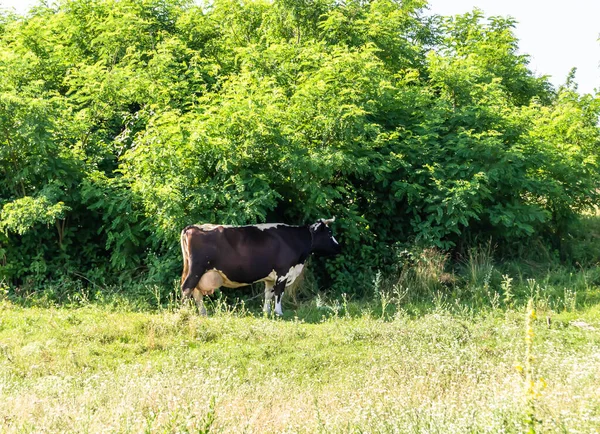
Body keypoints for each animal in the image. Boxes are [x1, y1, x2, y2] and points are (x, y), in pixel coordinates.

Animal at [178, 217, 340, 316]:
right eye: (329, 232)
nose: (339, 247)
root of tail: (193, 227)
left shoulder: (270, 278)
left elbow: (268, 294)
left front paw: (266, 312)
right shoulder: (283, 272)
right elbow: (279, 293)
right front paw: (279, 313)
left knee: (195, 292)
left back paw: (203, 313)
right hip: (196, 269)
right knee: (187, 289)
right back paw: (184, 312)